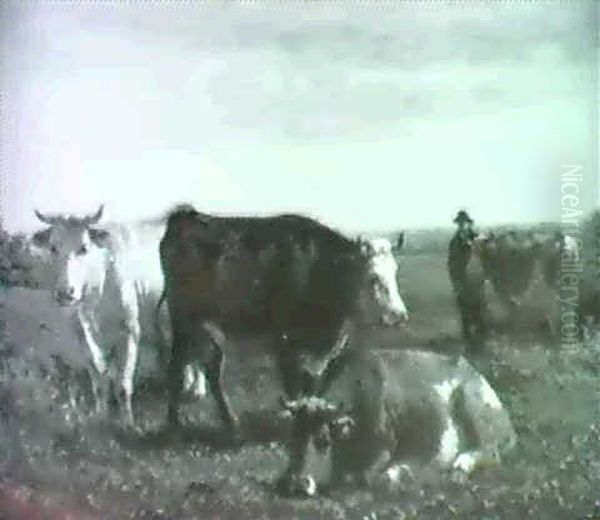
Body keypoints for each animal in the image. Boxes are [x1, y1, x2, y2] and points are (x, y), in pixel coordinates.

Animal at [157, 205, 408, 440]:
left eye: (395, 271)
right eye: (373, 277)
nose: (400, 315)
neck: (318, 268)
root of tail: (186, 217)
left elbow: (313, 385)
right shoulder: (284, 340)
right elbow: (293, 385)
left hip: (207, 326)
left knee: (211, 371)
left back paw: (230, 425)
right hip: (183, 320)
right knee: (176, 368)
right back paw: (175, 426)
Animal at [278, 344, 516, 498]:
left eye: (324, 440)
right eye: (292, 438)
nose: (296, 483)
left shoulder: (385, 450)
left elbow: (376, 478)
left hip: (471, 408)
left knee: (489, 452)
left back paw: (460, 467)